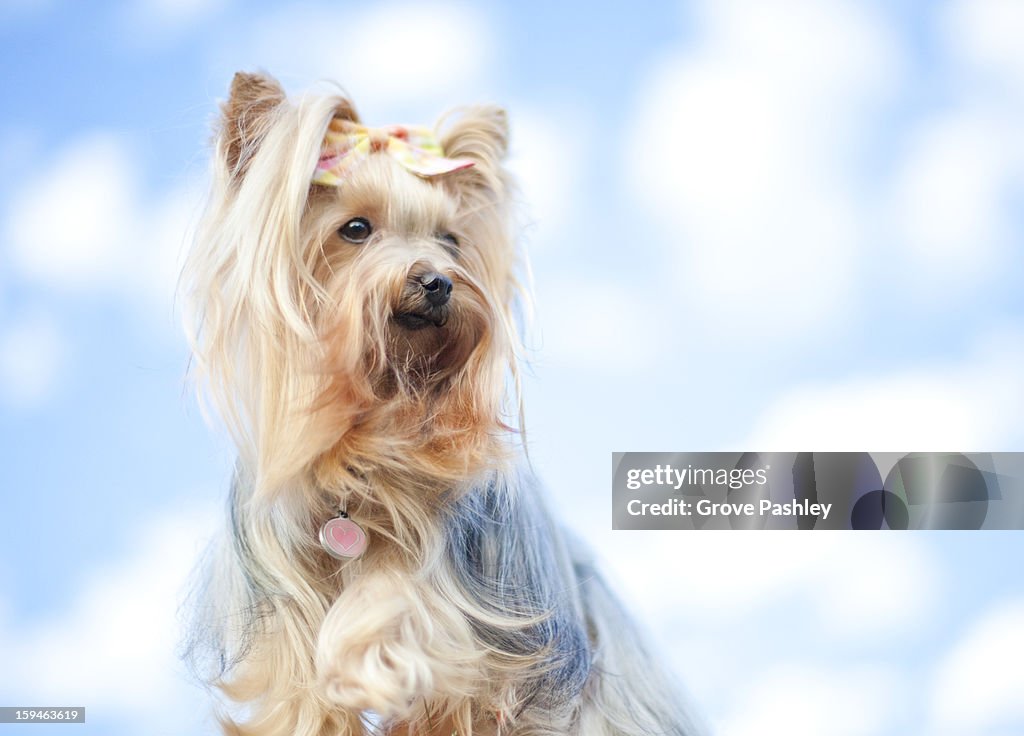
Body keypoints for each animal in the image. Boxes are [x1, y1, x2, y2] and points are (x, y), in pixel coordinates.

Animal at [182, 70, 696, 736]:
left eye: (450, 239)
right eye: (355, 229)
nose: (438, 281)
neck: (372, 426)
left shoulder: (457, 610)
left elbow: (399, 603)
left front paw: (372, 657)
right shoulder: (284, 613)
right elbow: (307, 695)